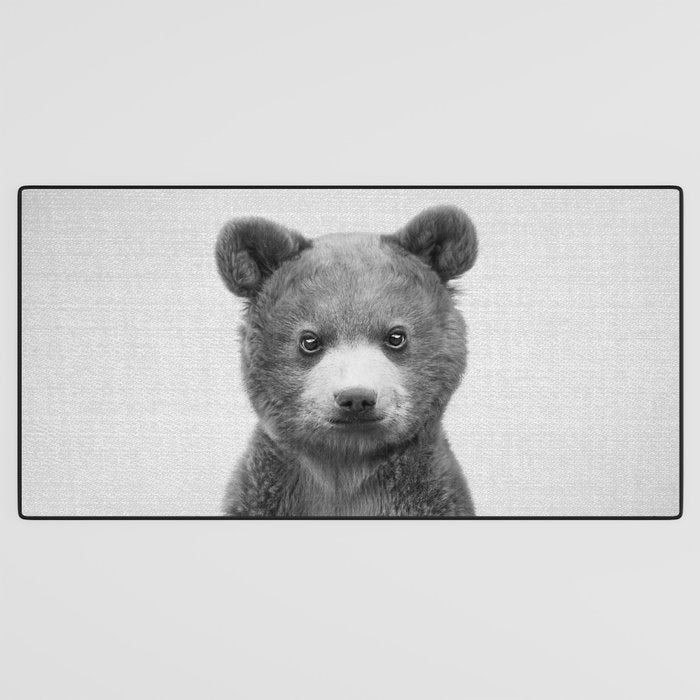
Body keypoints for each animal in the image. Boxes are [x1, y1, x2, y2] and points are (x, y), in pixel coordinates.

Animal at [215, 205, 478, 517]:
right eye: (309, 340)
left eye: (396, 336)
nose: (356, 398)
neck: (346, 464)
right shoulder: (264, 491)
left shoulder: (429, 493)